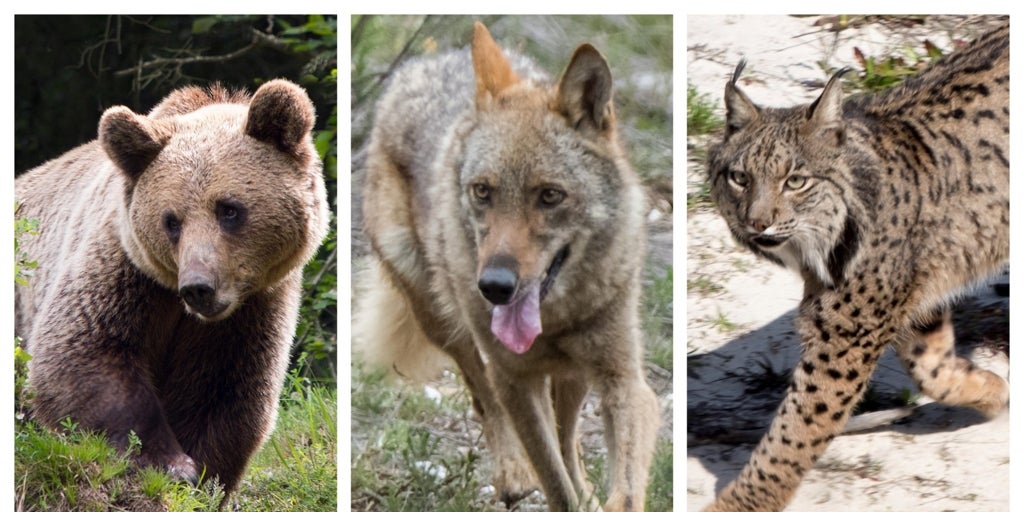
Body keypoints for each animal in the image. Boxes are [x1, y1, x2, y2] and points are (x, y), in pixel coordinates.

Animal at [14, 80, 327, 495]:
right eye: (171, 221)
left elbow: (224, 390)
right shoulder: (125, 273)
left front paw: (203, 474)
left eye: (229, 209)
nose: (199, 287)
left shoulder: (251, 310)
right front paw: (170, 463)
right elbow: (84, 352)